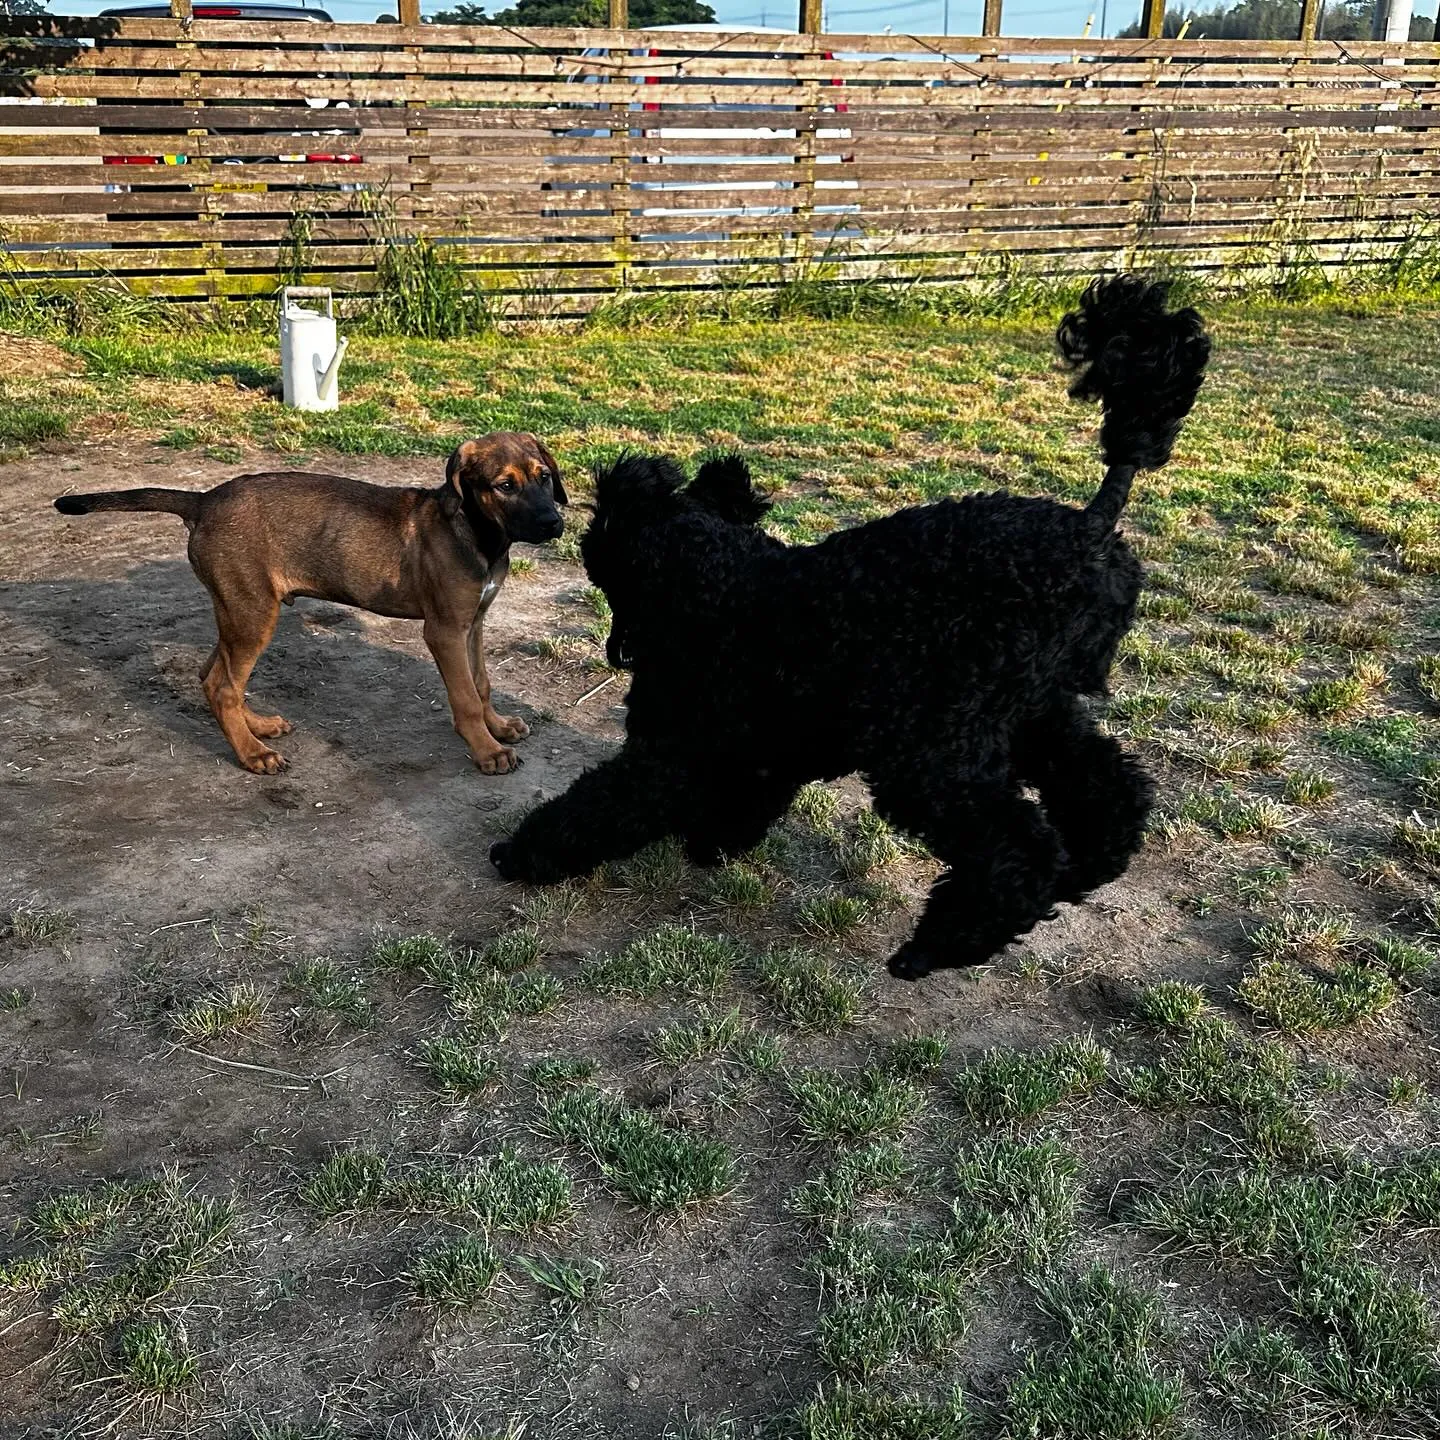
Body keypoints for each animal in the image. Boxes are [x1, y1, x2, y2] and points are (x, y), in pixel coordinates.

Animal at [50, 434, 567, 783]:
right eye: (504, 486)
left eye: (544, 477)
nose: (554, 523)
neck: (479, 535)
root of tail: (203, 500)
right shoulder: (444, 631)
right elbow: (464, 697)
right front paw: (486, 750)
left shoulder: (472, 624)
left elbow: (481, 684)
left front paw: (499, 727)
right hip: (253, 612)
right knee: (222, 685)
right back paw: (252, 754)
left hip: (239, 608)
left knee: (214, 675)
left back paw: (257, 727)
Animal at [489, 275, 1209, 979]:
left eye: (600, 560)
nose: (621, 652)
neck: (717, 580)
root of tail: (1093, 527)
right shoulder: (762, 746)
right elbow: (743, 796)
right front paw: (712, 842)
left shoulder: (673, 748)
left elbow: (606, 804)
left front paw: (523, 853)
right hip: (1035, 710)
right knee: (1110, 788)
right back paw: (1086, 869)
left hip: (933, 746)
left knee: (1018, 845)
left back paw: (937, 946)